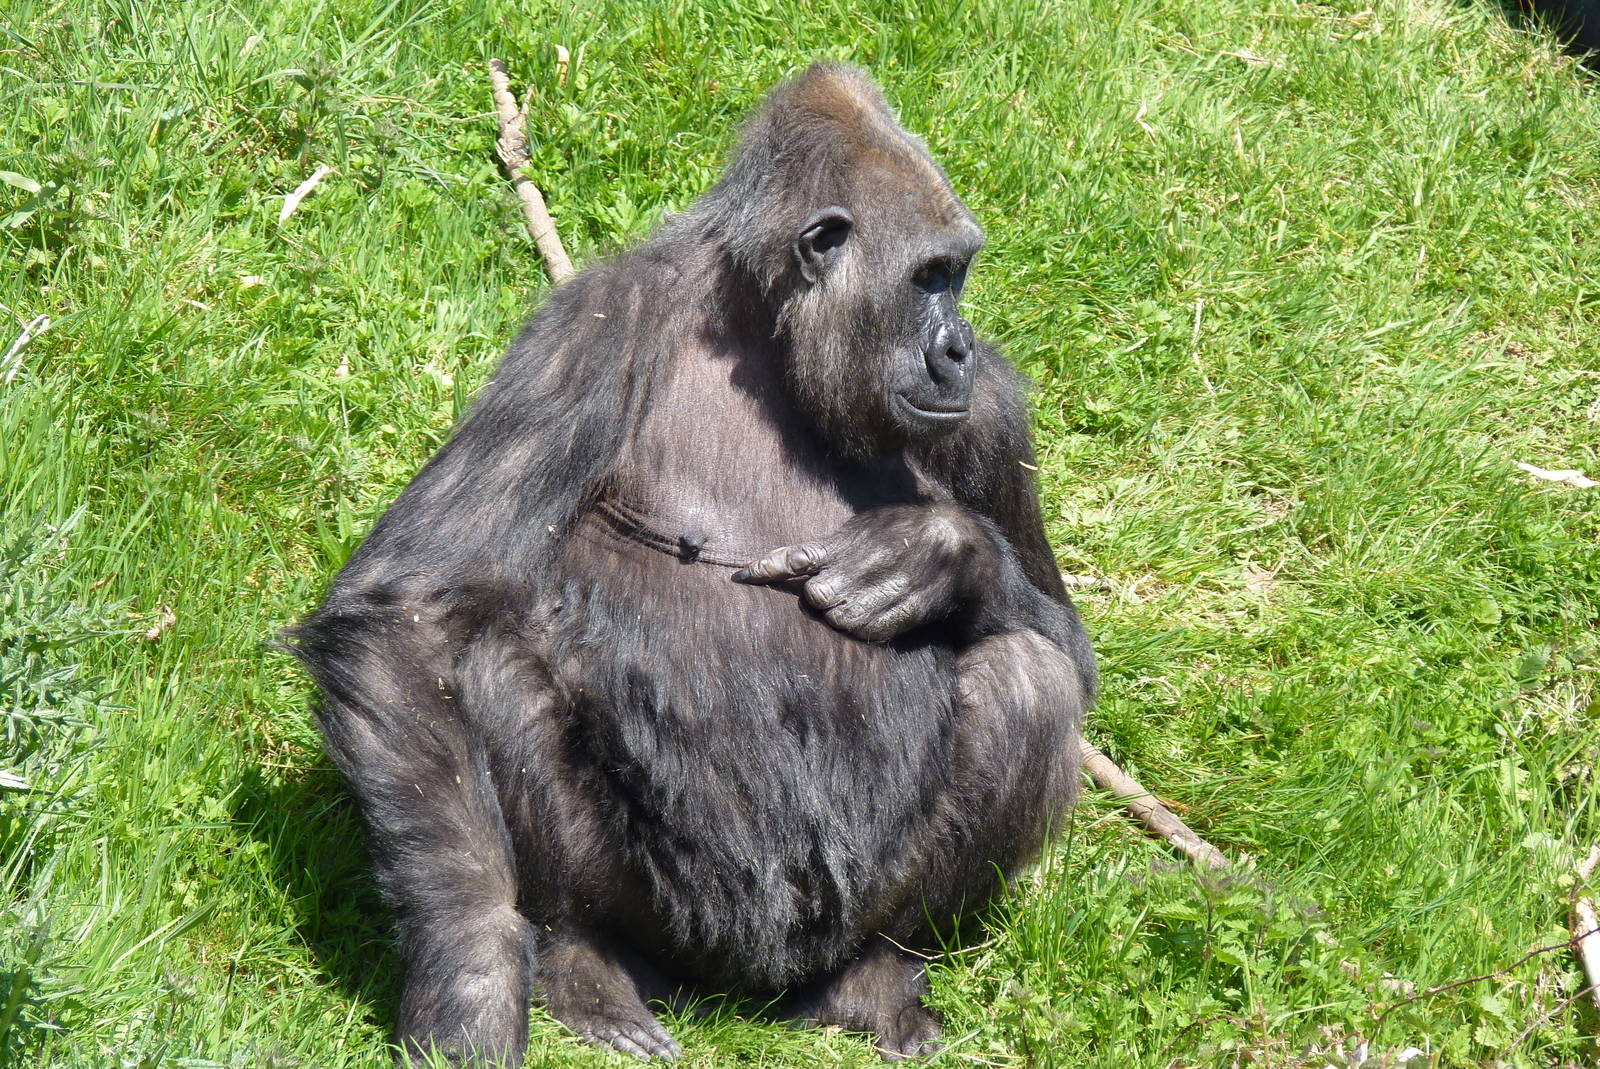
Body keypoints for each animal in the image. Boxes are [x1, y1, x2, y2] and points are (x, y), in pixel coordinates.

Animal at [287, 62, 1095, 1065]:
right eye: (930, 277)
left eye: (958, 276)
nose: (958, 347)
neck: (766, 337)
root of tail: (746, 989)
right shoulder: (592, 328)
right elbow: (413, 608)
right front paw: (471, 982)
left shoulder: (993, 414)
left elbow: (1069, 648)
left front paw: (941, 555)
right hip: (659, 924)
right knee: (490, 667)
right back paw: (581, 960)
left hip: (835, 923)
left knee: (1031, 680)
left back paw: (876, 973)